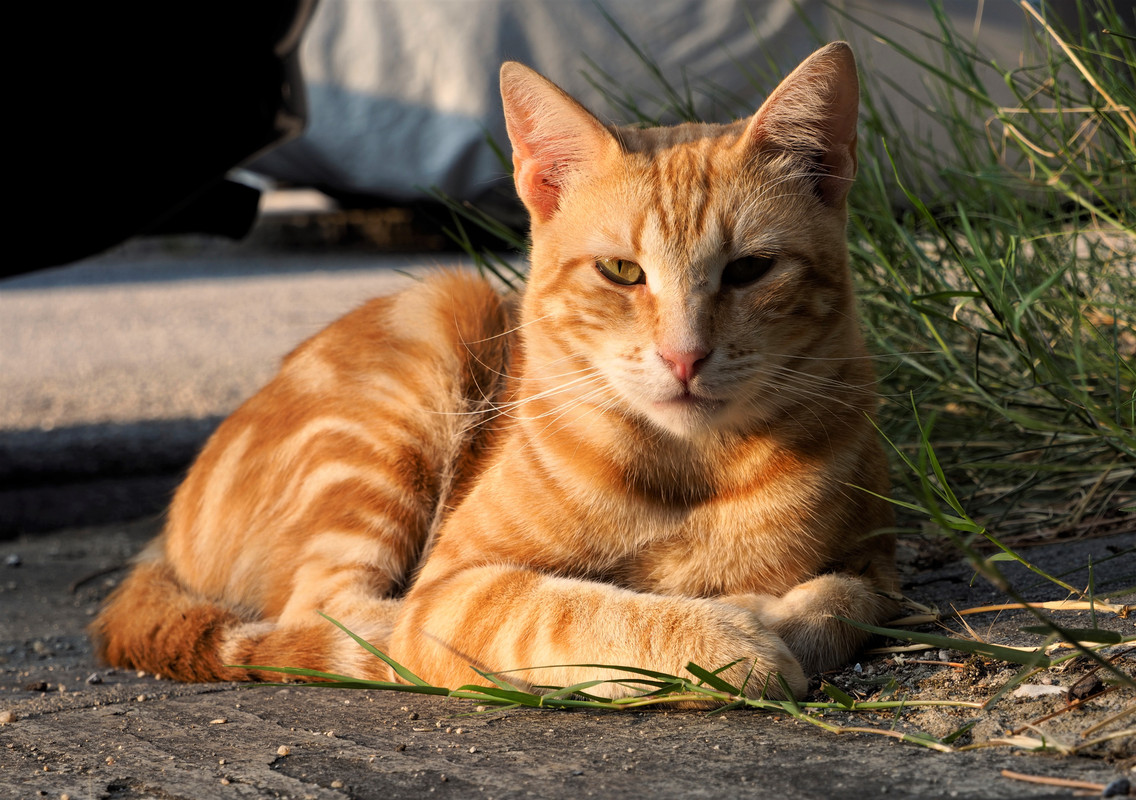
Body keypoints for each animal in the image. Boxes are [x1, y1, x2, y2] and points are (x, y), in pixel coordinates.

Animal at [93, 43, 895, 695]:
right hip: (428, 347)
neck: (691, 472)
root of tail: (160, 540)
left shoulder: (877, 556)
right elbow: (579, 611)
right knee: (333, 621)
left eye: (750, 270)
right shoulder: (457, 587)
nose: (684, 355)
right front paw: (723, 632)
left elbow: (849, 600)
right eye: (621, 272)